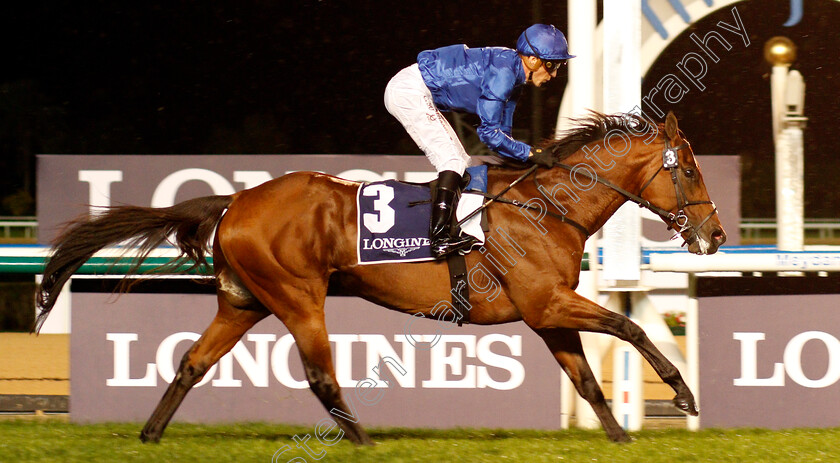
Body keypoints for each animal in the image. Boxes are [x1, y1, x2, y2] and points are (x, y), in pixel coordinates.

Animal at [36, 110, 724, 444]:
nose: (715, 236)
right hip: (298, 297)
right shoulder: (548, 302)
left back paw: (150, 434)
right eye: (689, 169)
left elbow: (586, 380)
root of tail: (235, 203)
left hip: (242, 302)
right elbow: (631, 329)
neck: (545, 208)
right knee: (320, 375)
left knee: (191, 364)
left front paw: (619, 437)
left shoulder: (545, 312)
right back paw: (364, 442)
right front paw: (684, 394)